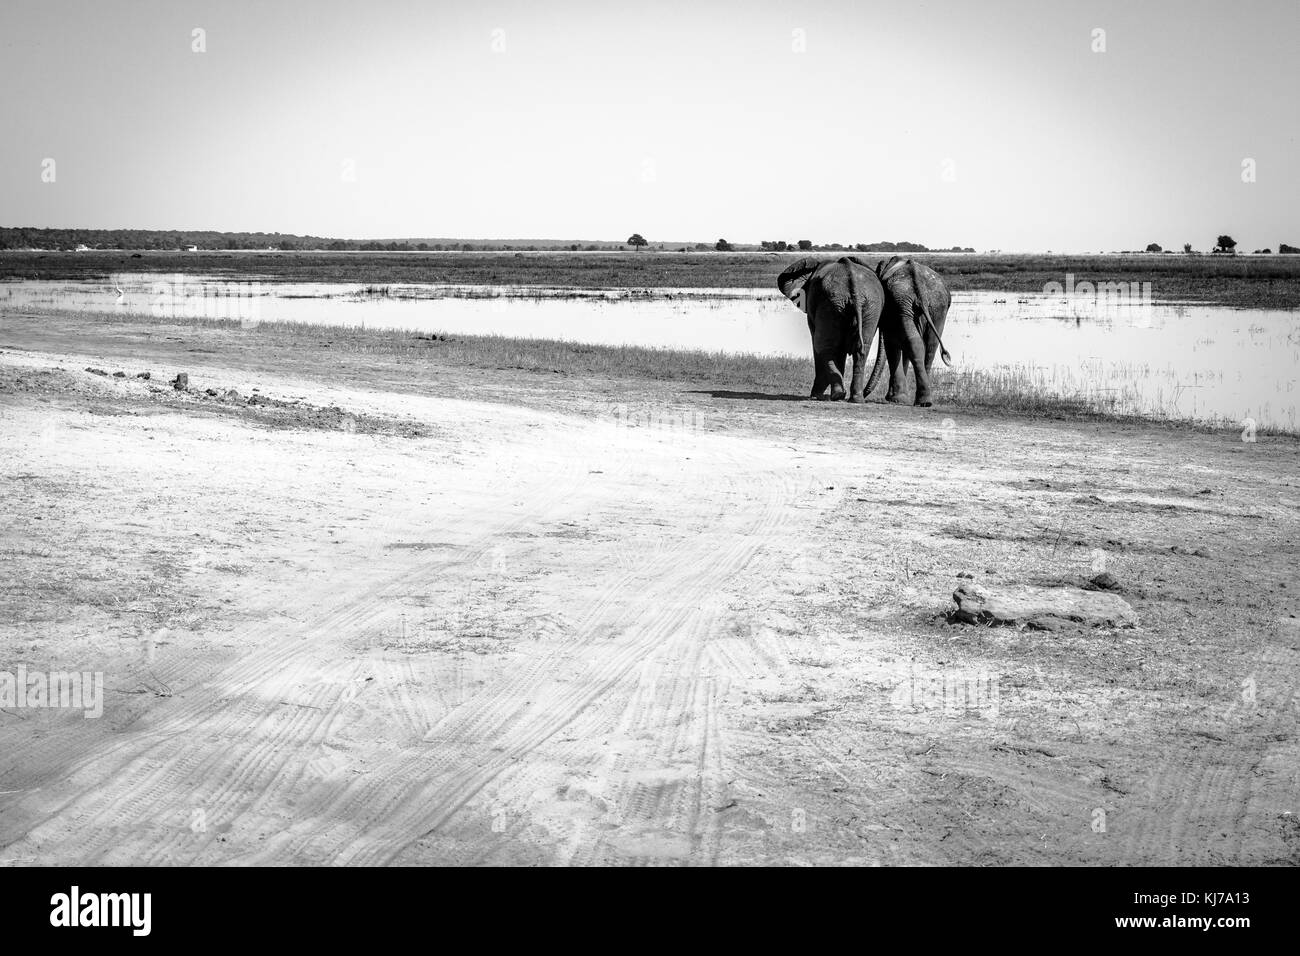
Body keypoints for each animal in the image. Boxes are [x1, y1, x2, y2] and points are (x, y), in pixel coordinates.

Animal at [774, 256, 889, 403]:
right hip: (867, 306)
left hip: (832, 303)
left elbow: (819, 344)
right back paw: (854, 398)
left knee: (825, 346)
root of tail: (854, 284)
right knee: (861, 349)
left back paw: (834, 395)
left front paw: (816, 395)